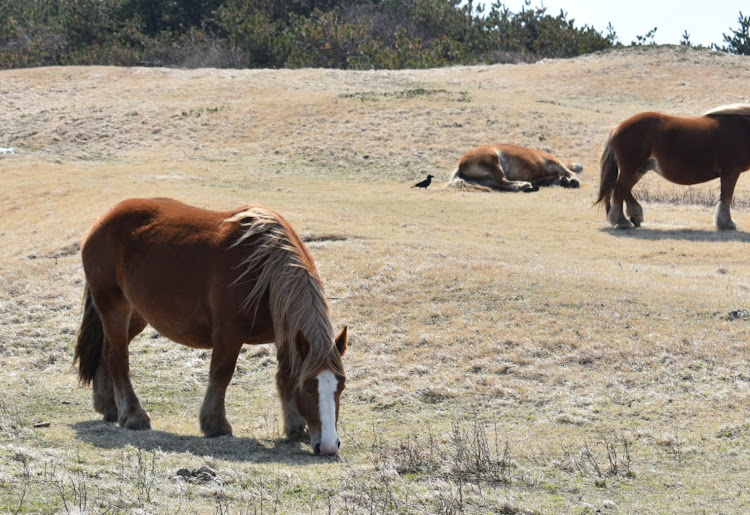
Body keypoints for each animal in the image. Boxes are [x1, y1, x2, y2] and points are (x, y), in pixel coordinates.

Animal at [73, 198, 350, 456]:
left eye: (341, 385)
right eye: (309, 387)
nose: (328, 446)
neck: (263, 270)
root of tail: (102, 220)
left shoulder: (286, 334)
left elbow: (285, 376)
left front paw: (295, 427)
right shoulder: (229, 333)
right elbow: (221, 373)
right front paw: (215, 424)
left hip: (137, 314)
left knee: (106, 353)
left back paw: (109, 406)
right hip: (114, 307)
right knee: (118, 358)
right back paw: (132, 414)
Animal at [450, 144, 584, 192]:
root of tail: (461, 165)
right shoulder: (554, 163)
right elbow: (569, 172)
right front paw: (574, 181)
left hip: (487, 179)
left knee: (500, 184)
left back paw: (525, 186)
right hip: (494, 163)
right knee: (502, 181)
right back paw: (524, 185)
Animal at [600, 105, 750, 230]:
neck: (742, 128)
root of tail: (617, 128)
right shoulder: (730, 172)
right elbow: (726, 197)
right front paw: (727, 224)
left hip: (638, 170)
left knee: (624, 189)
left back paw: (635, 216)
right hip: (632, 169)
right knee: (620, 189)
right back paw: (621, 221)